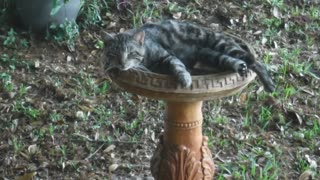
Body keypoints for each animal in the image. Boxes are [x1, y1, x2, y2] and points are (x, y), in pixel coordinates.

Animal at [102, 20, 276, 92]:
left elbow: (177, 65)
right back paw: (239, 67)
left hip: (221, 45)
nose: (122, 63)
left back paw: (269, 84)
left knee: (255, 61)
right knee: (232, 61)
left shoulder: (167, 56)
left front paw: (185, 79)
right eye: (113, 53)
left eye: (131, 53)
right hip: (211, 55)